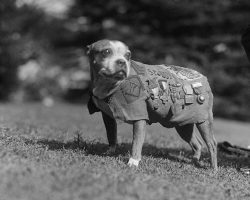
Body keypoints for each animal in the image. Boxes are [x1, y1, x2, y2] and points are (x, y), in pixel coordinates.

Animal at [87, 39, 218, 170]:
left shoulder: (139, 118)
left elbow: (136, 141)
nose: (122, 61)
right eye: (106, 52)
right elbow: (111, 135)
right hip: (182, 124)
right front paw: (110, 151)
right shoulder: (107, 117)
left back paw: (213, 168)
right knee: (197, 144)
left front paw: (133, 162)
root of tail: (203, 77)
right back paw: (194, 161)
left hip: (204, 121)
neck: (109, 85)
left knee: (212, 144)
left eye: (128, 55)